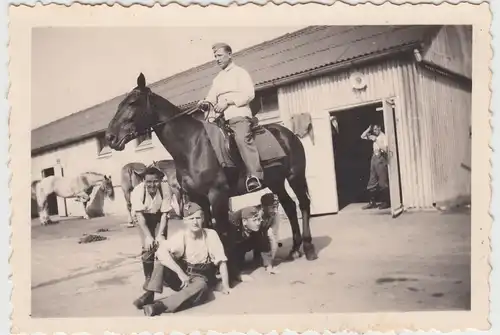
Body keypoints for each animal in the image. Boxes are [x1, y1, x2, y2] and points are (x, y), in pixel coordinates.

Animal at [105, 74, 316, 268]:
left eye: (133, 102)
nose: (109, 137)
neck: (192, 146)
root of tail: (288, 134)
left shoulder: (217, 196)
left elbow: (221, 230)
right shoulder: (197, 197)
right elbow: (205, 227)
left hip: (295, 176)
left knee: (303, 204)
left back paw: (308, 248)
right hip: (276, 182)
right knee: (290, 206)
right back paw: (295, 248)